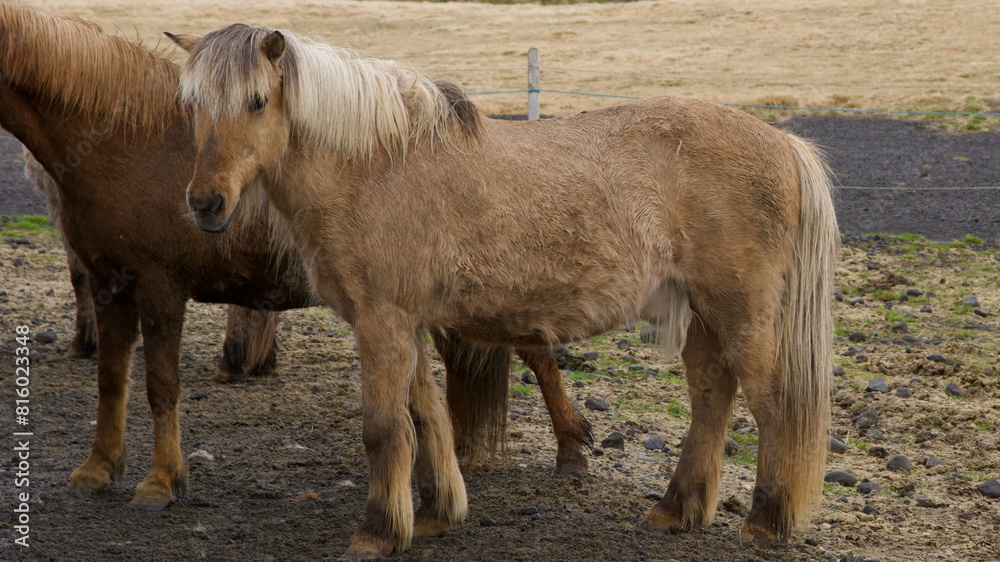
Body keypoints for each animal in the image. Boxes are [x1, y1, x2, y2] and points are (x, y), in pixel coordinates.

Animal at [172, 24, 838, 557]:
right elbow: (427, 417)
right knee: (711, 397)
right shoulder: (407, 324)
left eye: (258, 101)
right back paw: (677, 508)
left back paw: (766, 521)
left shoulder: (382, 321)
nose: (206, 203)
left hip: (739, 312)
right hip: (700, 313)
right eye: (193, 105)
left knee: (771, 404)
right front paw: (436, 513)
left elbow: (386, 428)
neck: (376, 166)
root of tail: (785, 144)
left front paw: (378, 531)